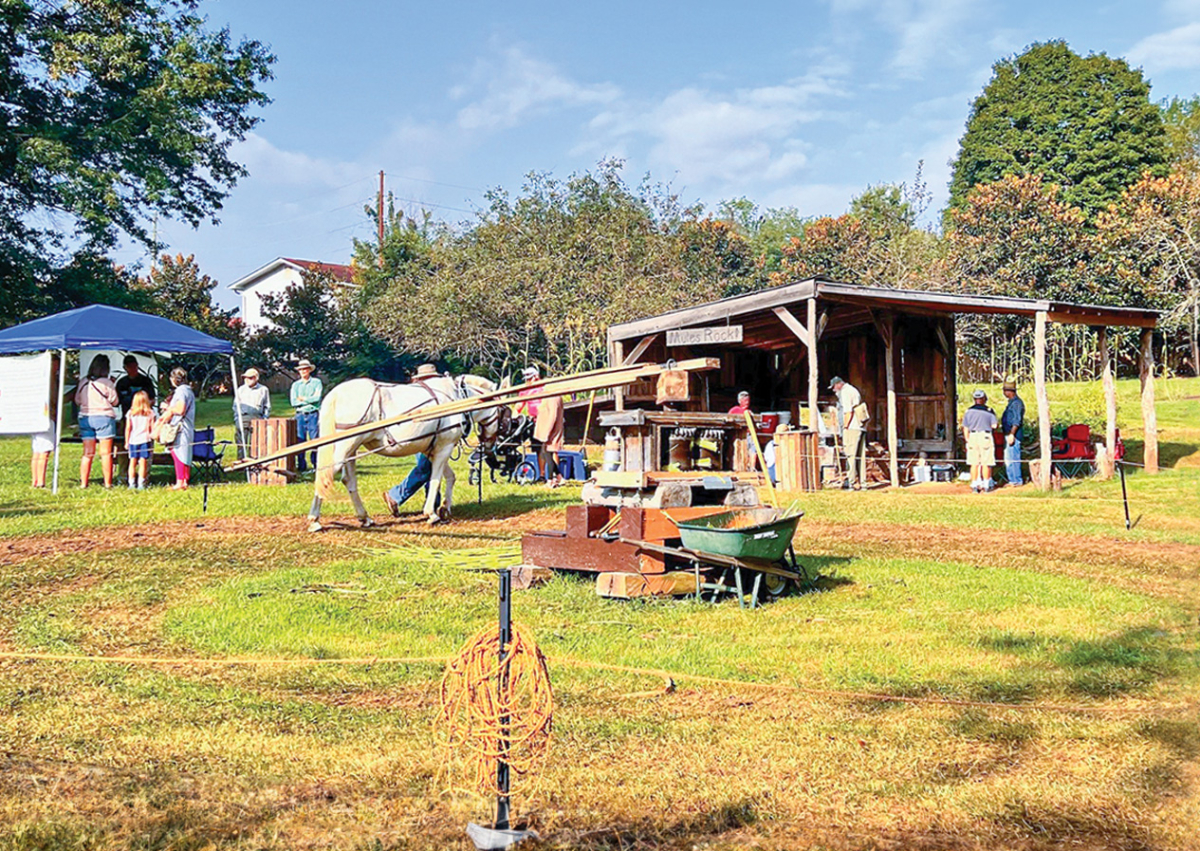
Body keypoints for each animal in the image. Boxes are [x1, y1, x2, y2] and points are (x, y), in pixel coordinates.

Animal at [309, 374, 501, 530]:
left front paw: (445, 507)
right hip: (346, 445)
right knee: (326, 475)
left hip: (351, 450)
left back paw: (365, 518)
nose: (491, 445)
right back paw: (314, 520)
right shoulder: (444, 447)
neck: (457, 398)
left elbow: (449, 476)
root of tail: (336, 393)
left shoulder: (433, 449)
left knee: (348, 480)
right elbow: (436, 479)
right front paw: (432, 514)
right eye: (501, 412)